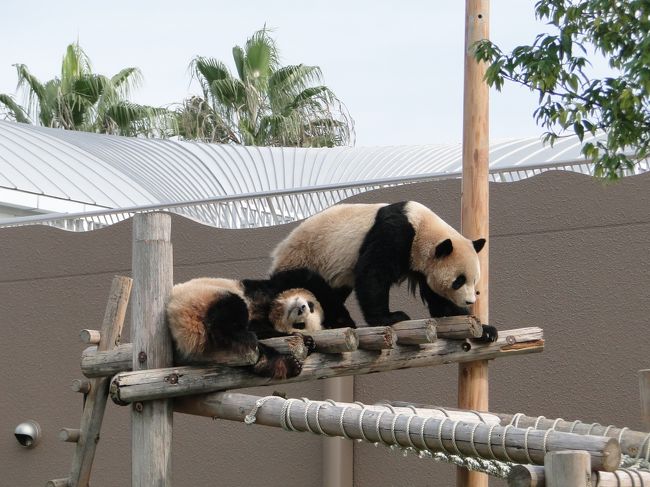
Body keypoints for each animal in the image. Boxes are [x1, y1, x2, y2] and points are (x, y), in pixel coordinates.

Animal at [268, 200, 496, 342]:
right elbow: (373, 272)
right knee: (315, 288)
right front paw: (391, 317)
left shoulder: (423, 262)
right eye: (459, 281)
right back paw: (342, 321)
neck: (422, 226)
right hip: (304, 259)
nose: (469, 301)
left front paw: (485, 331)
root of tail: (278, 254)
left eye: (475, 281)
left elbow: (439, 300)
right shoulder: (395, 233)